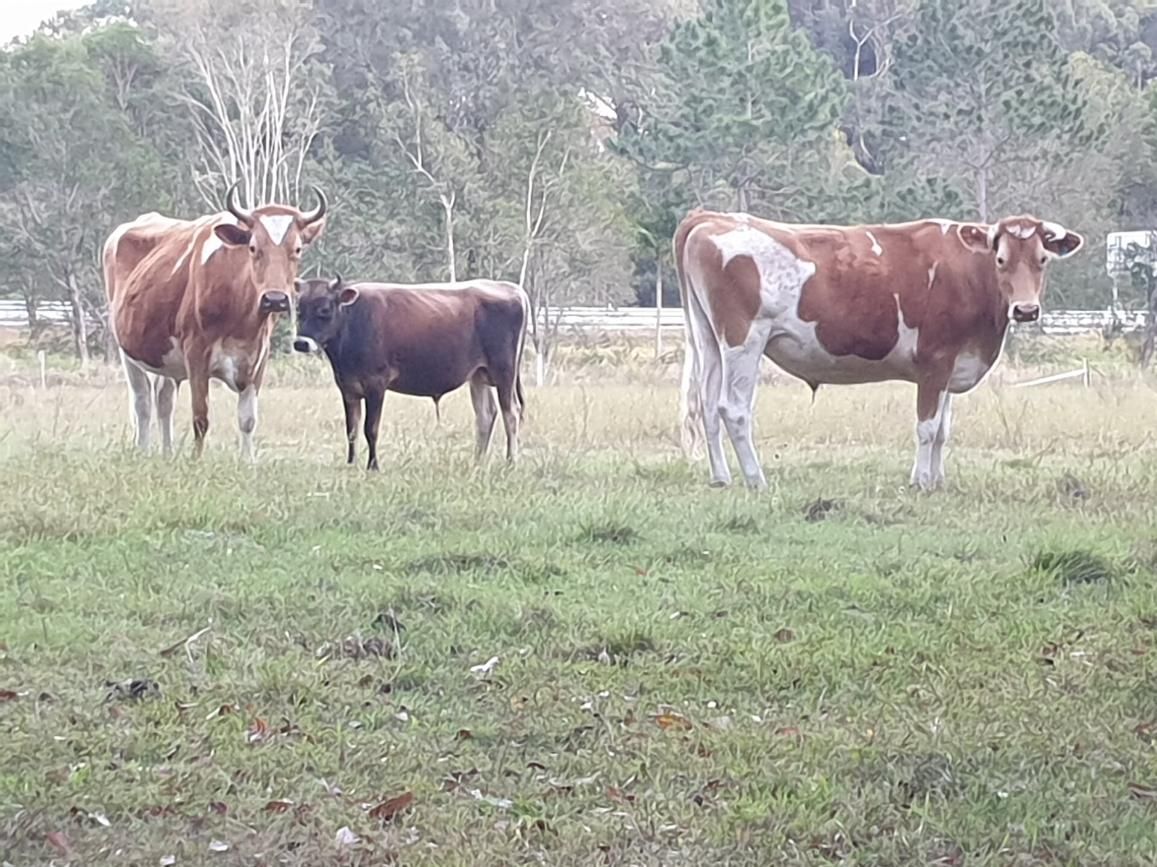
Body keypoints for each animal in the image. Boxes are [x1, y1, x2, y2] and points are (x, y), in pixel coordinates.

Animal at [103, 183, 327, 459]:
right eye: (253, 247)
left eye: (296, 249)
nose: (275, 299)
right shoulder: (196, 353)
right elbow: (200, 417)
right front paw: (196, 460)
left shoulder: (259, 357)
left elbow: (248, 419)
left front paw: (247, 461)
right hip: (128, 351)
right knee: (142, 402)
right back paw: (143, 451)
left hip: (164, 358)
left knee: (164, 400)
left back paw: (167, 453)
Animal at [292, 276, 529, 470]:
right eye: (299, 311)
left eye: (324, 310)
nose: (301, 343)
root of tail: (511, 288)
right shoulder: (348, 388)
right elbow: (352, 429)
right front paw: (351, 464)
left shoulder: (376, 384)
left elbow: (370, 428)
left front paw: (373, 466)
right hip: (478, 375)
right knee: (485, 414)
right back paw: (477, 462)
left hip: (505, 372)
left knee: (511, 412)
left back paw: (511, 462)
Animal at [675, 209, 1084, 491]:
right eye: (1001, 260)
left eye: (1042, 260)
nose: (1026, 310)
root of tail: (712, 218)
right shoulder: (935, 361)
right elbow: (927, 427)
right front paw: (921, 482)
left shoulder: (954, 363)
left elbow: (943, 430)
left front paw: (938, 480)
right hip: (744, 340)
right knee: (733, 408)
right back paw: (755, 478)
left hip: (709, 339)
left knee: (707, 406)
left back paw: (721, 477)